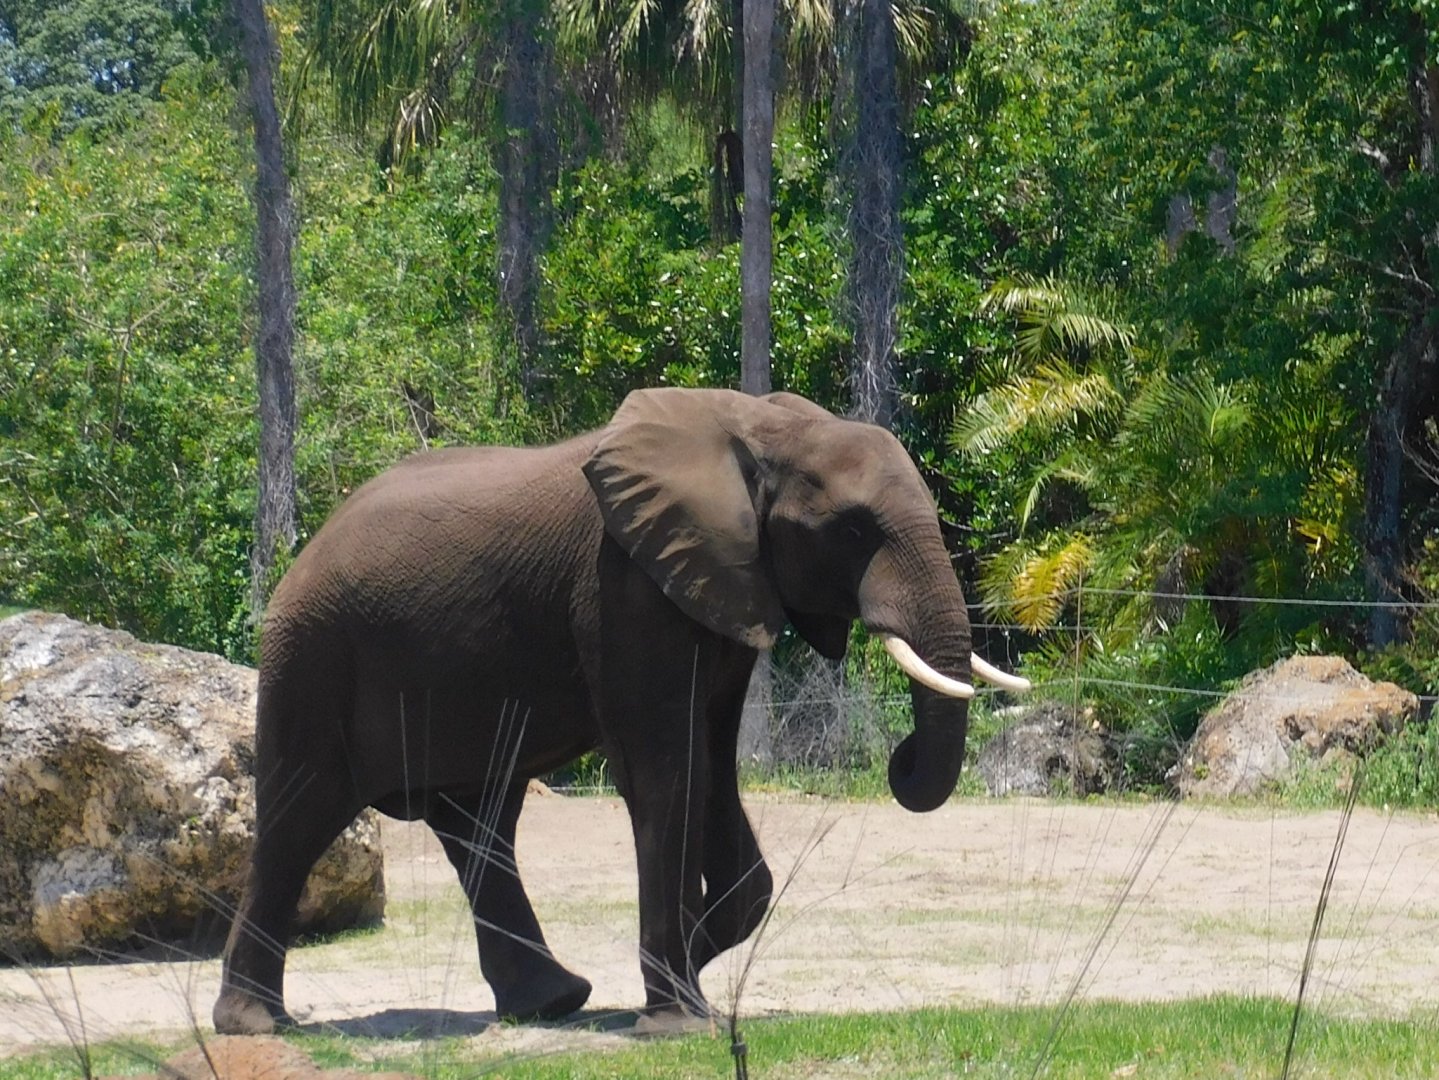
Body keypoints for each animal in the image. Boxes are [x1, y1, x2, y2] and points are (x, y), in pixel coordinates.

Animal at [212, 387, 1028, 1036]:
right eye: (855, 530)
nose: (899, 756)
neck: (759, 429)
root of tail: (302, 555)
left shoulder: (717, 584)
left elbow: (710, 761)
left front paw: (694, 961)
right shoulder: (626, 588)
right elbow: (663, 770)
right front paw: (680, 1021)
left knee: (477, 822)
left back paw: (553, 1002)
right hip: (313, 659)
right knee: (299, 819)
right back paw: (255, 1025)